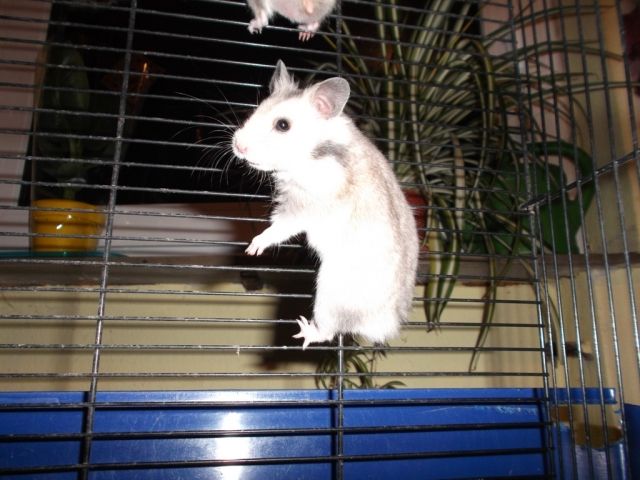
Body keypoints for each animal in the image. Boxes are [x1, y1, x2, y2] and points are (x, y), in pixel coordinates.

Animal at [232, 61, 419, 349]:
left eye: (283, 125)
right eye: (255, 111)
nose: (237, 145)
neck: (312, 154)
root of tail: (385, 327)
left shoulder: (303, 205)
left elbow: (278, 228)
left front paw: (253, 249)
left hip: (329, 296)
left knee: (330, 331)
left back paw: (303, 330)